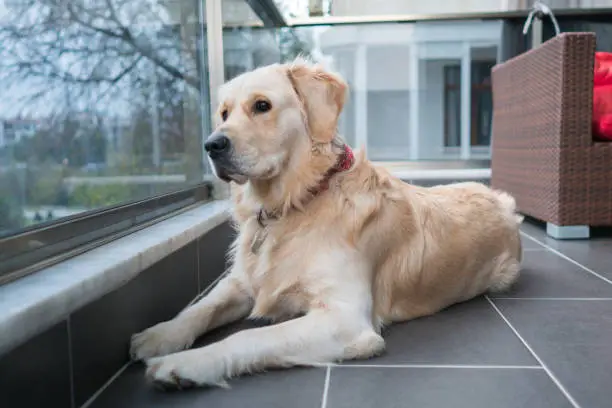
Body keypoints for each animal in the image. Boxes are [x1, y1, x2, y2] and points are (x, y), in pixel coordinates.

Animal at [129, 57, 520, 388]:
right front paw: (160, 335)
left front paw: (185, 363)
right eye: (223, 113)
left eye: (262, 106)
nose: (212, 145)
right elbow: (202, 307)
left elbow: (247, 336)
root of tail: (504, 201)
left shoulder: (344, 319)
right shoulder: (242, 281)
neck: (296, 201)